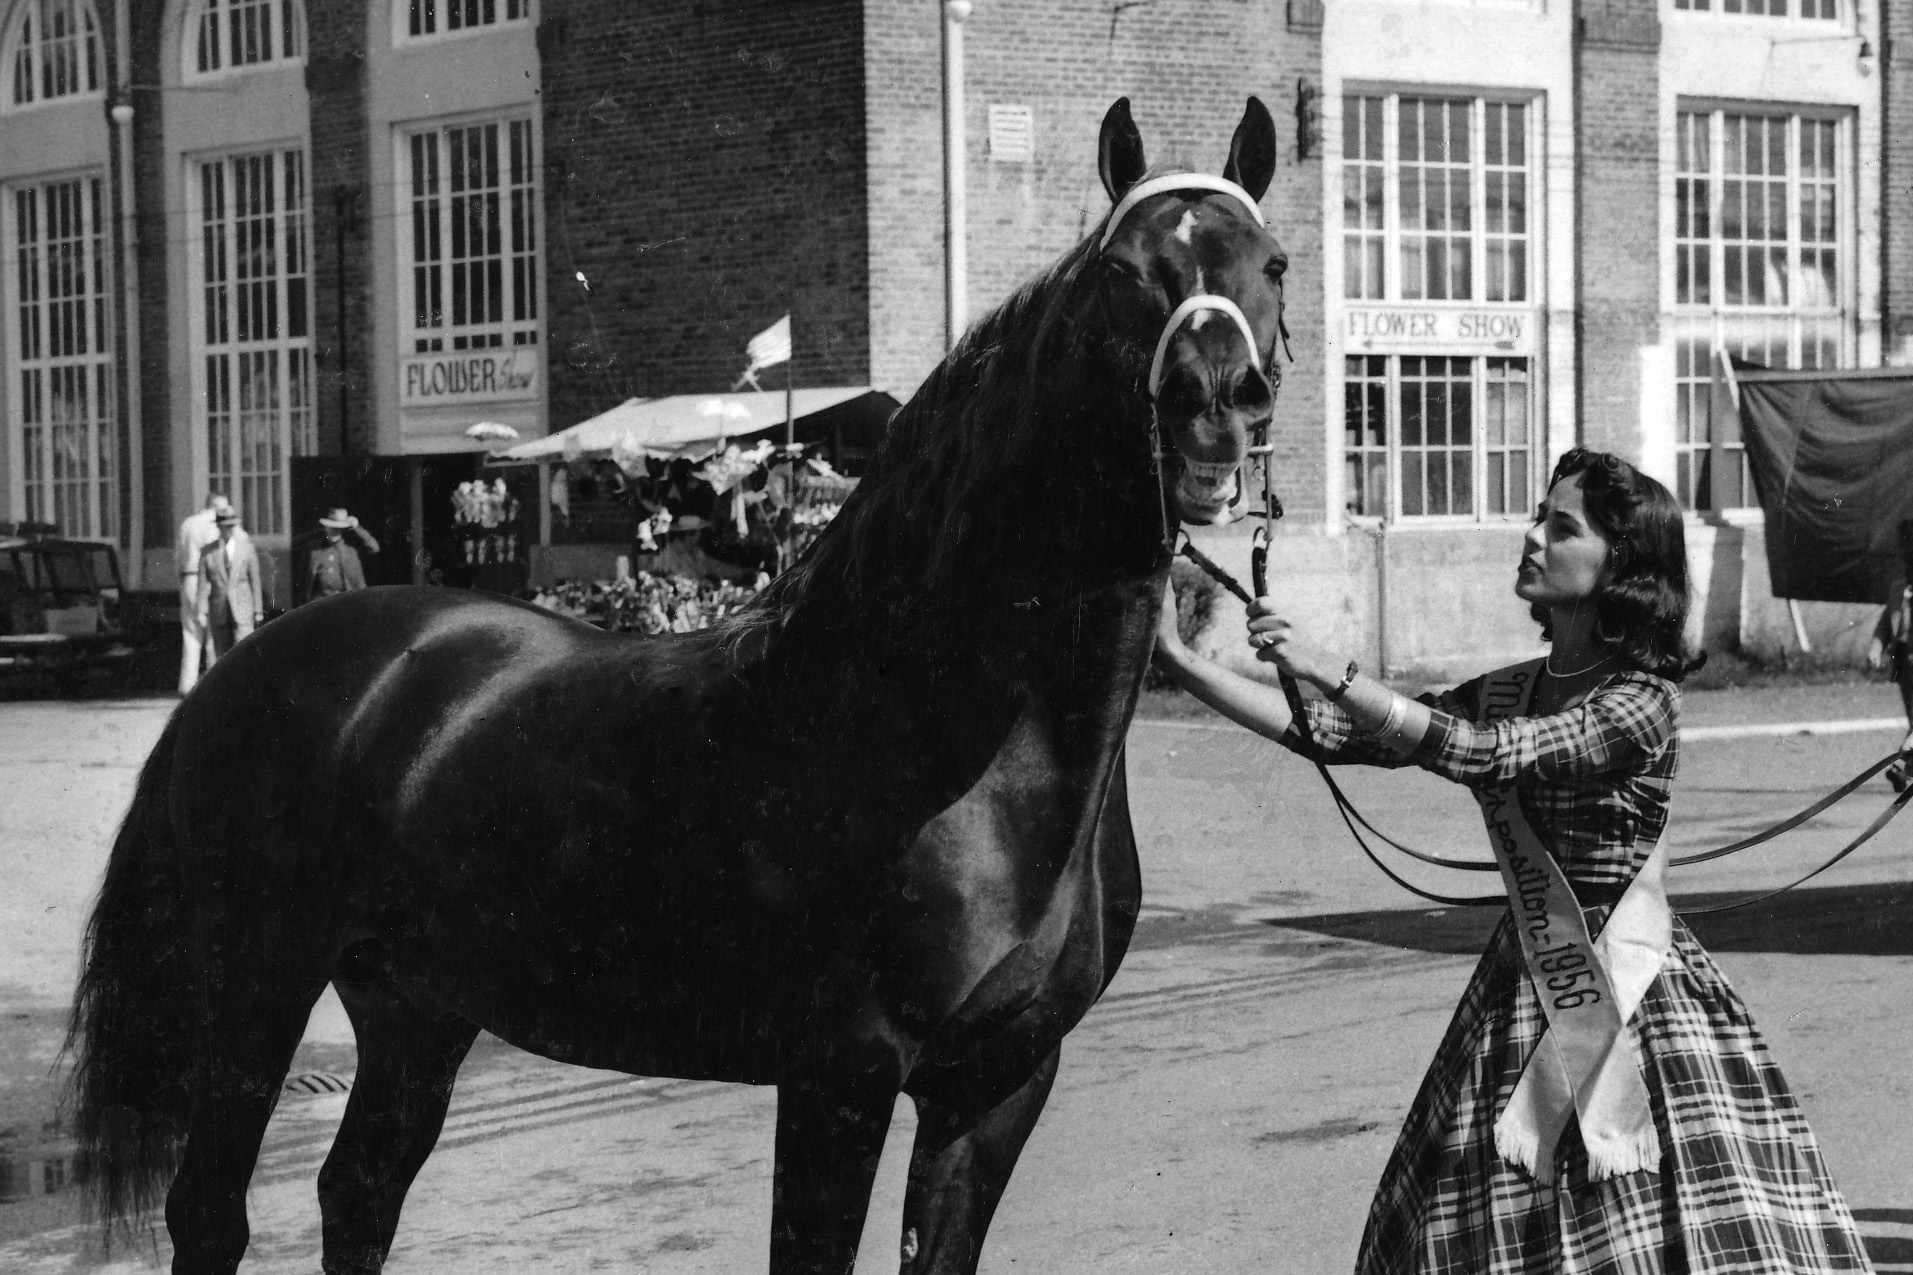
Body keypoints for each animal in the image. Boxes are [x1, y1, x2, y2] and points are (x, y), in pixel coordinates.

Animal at [70, 99, 1285, 1271]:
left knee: (359, 1197)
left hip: (416, 1004)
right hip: (255, 987)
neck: (951, 745)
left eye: (1271, 262)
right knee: (211, 1215)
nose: (1214, 405)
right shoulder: (840, 1077)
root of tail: (241, 669)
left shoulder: (995, 1087)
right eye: (1121, 269)